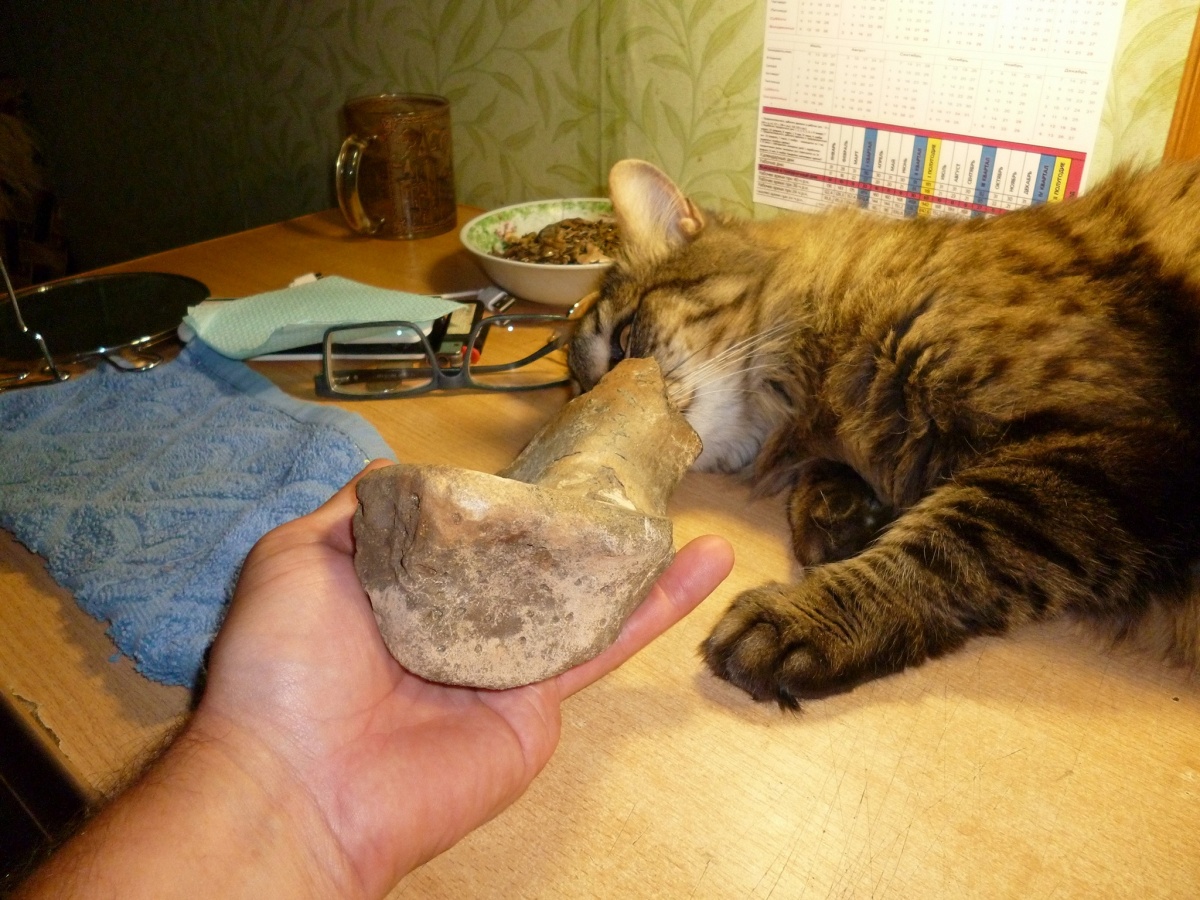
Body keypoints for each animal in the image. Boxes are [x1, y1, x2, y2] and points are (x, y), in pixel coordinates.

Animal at [566, 158, 1200, 708]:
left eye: (624, 341)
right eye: (584, 394)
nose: (610, 415)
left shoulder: (1110, 448)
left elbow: (951, 542)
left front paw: (806, 616)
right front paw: (840, 515)